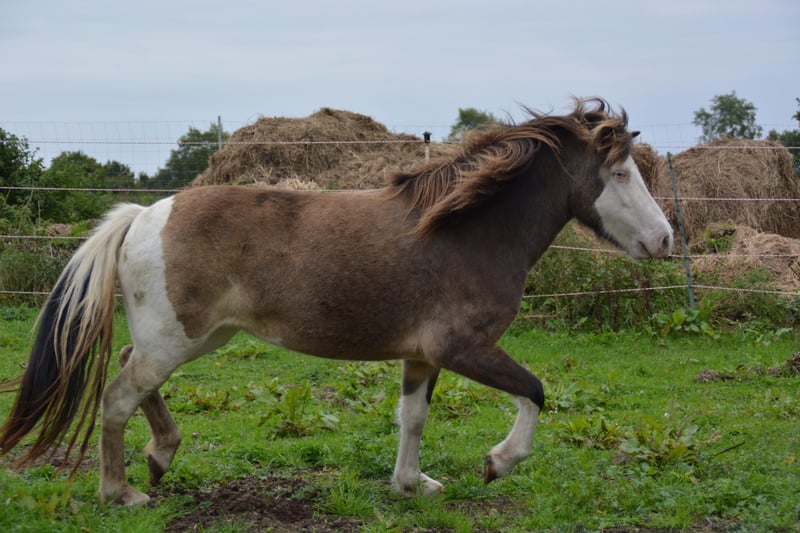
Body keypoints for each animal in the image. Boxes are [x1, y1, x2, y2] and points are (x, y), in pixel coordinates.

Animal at [0, 98, 673, 506]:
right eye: (619, 174)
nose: (664, 240)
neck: (467, 230)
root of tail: (143, 214)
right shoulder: (464, 348)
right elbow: (535, 392)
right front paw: (497, 463)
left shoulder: (422, 356)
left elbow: (413, 417)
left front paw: (412, 484)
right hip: (175, 339)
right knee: (117, 397)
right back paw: (122, 492)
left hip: (195, 336)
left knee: (131, 380)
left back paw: (162, 456)